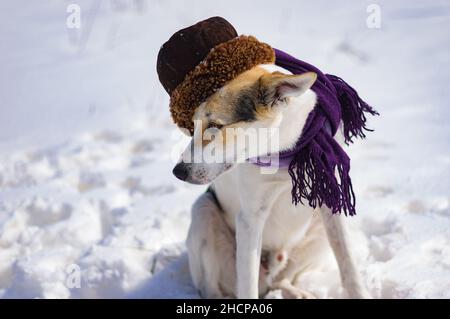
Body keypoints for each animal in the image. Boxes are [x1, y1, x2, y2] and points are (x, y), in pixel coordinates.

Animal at [171, 63, 370, 298]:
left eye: (215, 125)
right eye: (193, 126)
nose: (178, 172)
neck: (287, 150)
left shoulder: (332, 200)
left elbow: (348, 264)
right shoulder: (250, 218)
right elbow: (247, 288)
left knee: (280, 280)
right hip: (203, 211)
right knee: (214, 289)